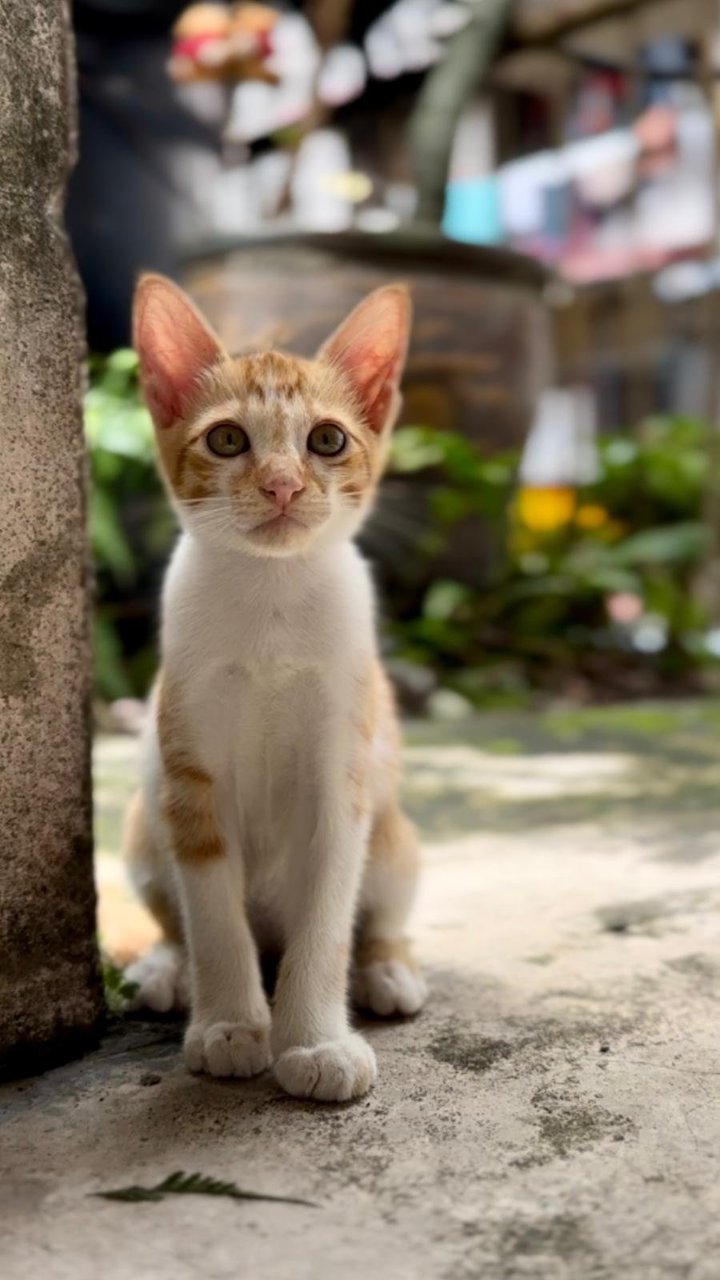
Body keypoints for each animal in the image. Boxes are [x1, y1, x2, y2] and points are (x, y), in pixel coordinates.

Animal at [124, 275, 425, 1105]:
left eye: (327, 440)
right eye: (227, 440)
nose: (284, 485)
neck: (272, 600)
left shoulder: (342, 774)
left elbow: (328, 914)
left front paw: (315, 1040)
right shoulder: (188, 772)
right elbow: (211, 916)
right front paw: (230, 1026)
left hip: (396, 837)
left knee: (383, 911)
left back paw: (388, 970)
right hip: (141, 824)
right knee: (176, 916)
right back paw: (166, 968)